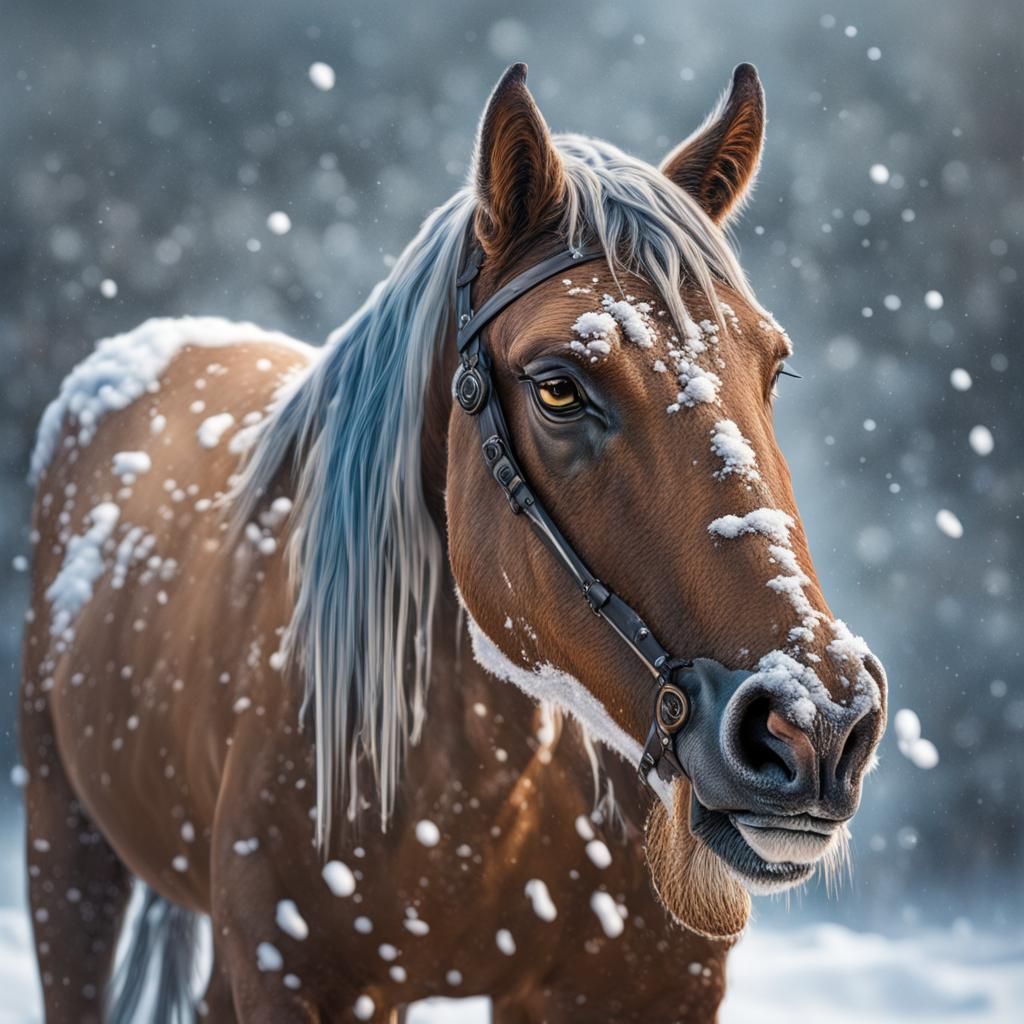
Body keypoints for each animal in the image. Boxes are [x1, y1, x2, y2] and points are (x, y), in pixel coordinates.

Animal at [19, 62, 887, 1023]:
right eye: (558, 387)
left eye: (773, 368)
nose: (817, 725)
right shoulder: (300, 980)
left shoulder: (637, 990)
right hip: (66, 853)